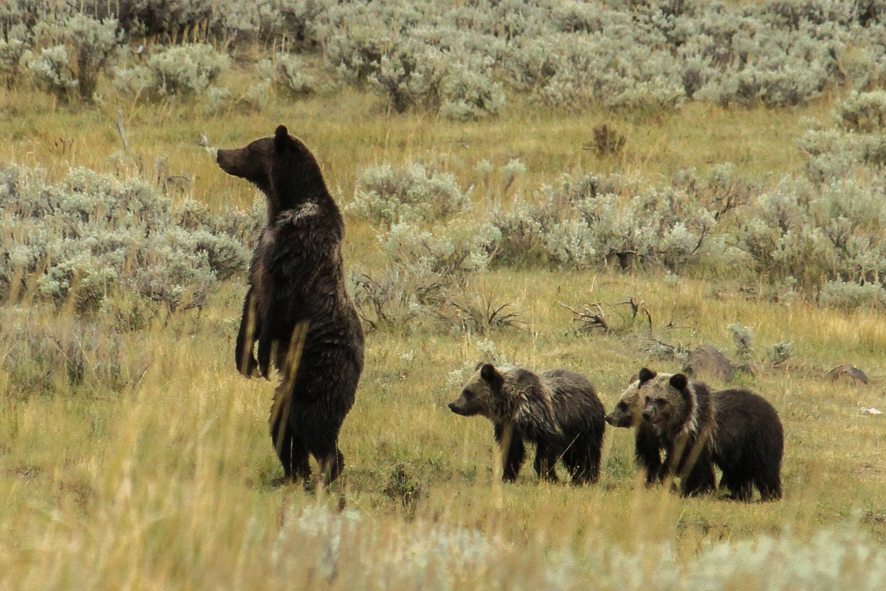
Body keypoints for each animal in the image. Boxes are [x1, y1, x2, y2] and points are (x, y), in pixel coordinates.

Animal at [217, 125, 366, 486]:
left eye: (249, 148)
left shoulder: (297, 254)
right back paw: (293, 474)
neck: (283, 207)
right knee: (281, 423)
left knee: (312, 425)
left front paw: (262, 357)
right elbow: (251, 301)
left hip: (316, 375)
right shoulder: (263, 250)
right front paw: (244, 359)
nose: (220, 153)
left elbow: (277, 307)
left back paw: (326, 473)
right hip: (291, 388)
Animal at [448, 366, 608, 486]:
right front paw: (508, 476)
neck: (512, 407)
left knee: (586, 453)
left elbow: (546, 452)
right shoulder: (508, 427)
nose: (452, 405)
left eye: (467, 392)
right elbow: (512, 452)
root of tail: (591, 388)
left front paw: (550, 477)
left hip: (584, 427)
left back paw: (587, 478)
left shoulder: (544, 422)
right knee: (574, 457)